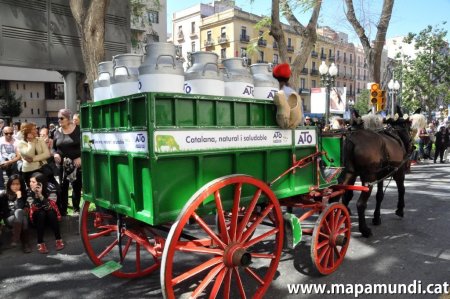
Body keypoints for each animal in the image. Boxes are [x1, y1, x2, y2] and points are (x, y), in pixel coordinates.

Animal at [342, 109, 420, 238]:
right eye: (409, 128)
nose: (412, 145)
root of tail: (352, 138)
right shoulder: (399, 172)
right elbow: (401, 189)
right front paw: (400, 210)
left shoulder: (381, 175)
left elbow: (379, 196)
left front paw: (376, 217)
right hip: (368, 178)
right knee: (360, 204)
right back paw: (364, 230)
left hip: (350, 173)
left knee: (342, 196)